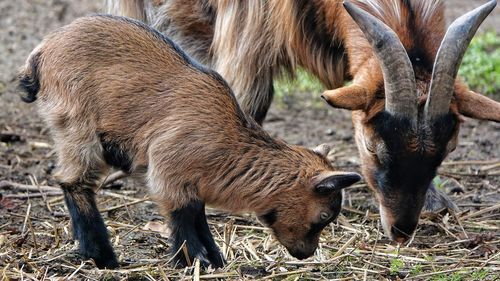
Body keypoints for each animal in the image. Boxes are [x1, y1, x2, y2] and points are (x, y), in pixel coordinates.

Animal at [18, 14, 360, 266]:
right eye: (324, 216)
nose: (306, 254)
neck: (227, 137)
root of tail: (41, 53)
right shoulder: (168, 169)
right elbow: (182, 213)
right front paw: (194, 260)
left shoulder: (192, 180)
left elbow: (198, 213)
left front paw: (215, 259)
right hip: (77, 126)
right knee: (73, 181)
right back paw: (102, 256)